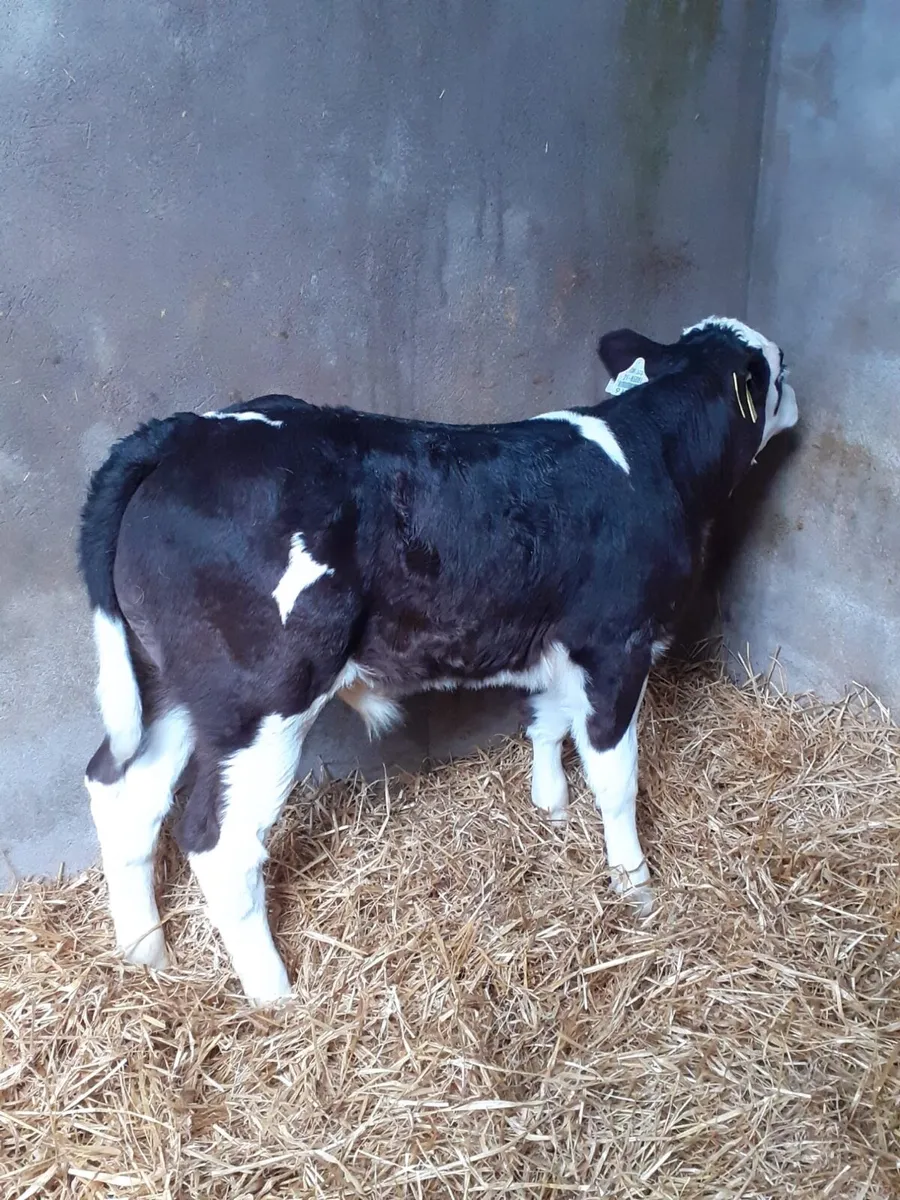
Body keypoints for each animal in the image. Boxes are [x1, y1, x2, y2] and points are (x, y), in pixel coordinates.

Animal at [78, 315, 798, 1004]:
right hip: (265, 696)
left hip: (182, 688)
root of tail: (186, 432)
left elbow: (547, 721)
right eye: (779, 369)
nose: (799, 392)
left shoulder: (558, 638)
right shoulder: (617, 644)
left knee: (123, 788)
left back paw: (144, 954)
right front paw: (636, 888)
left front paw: (552, 809)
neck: (652, 458)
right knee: (216, 841)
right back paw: (275, 996)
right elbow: (616, 779)